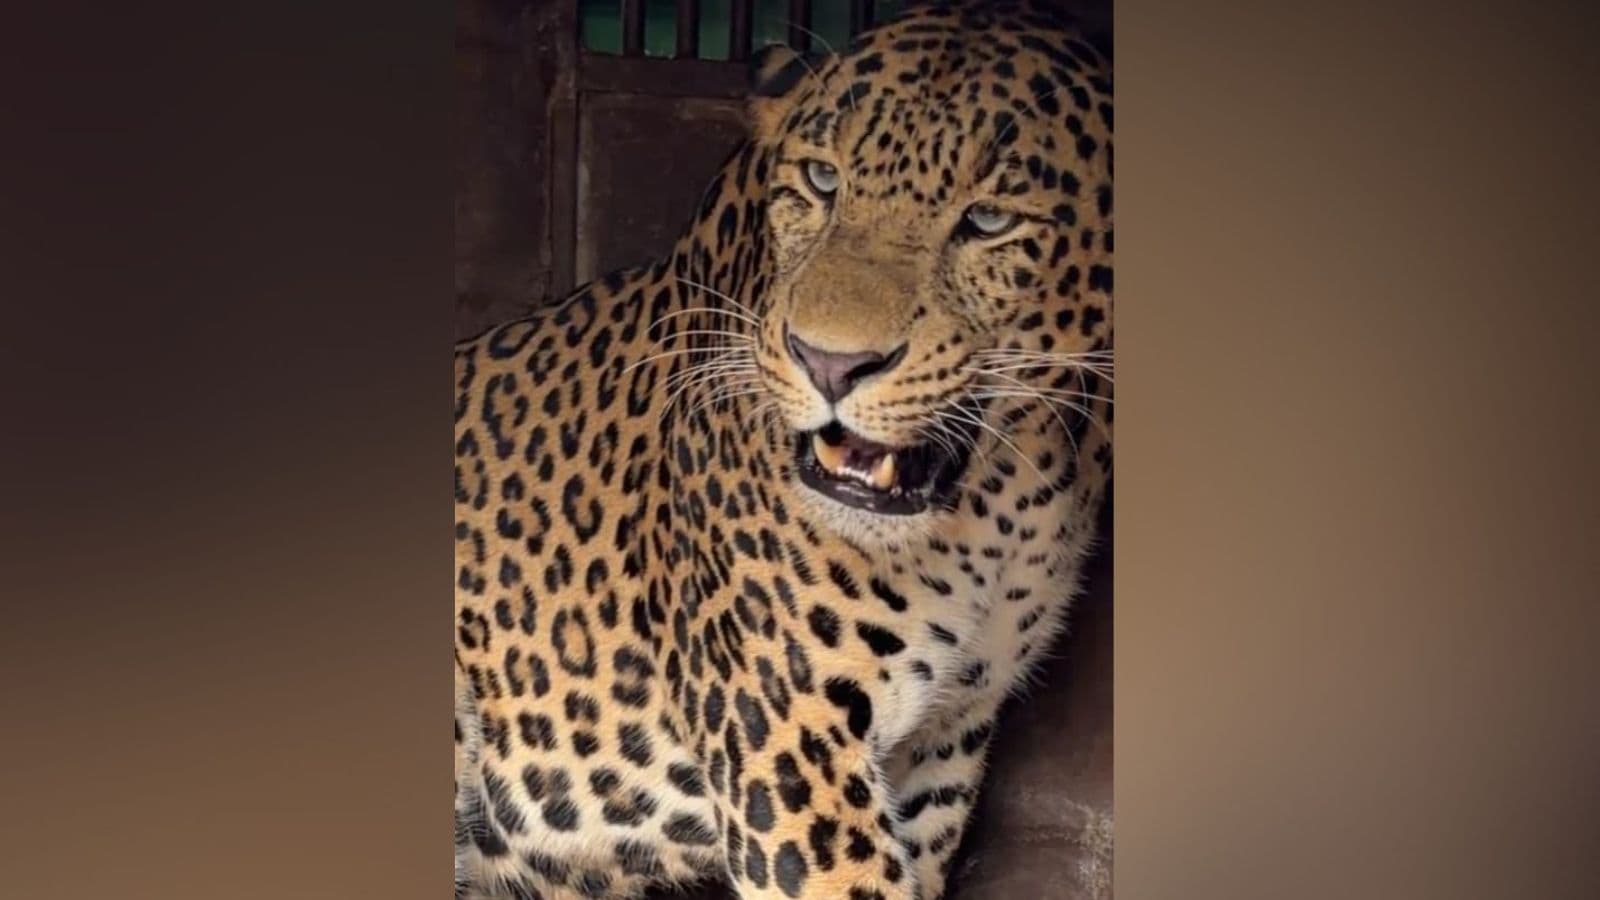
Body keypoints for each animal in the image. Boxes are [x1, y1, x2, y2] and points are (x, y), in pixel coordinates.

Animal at [453, 3, 1113, 898]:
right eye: (823, 180)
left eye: (989, 220)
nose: (829, 363)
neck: (1000, 501)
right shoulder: (788, 730)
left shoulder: (942, 744)